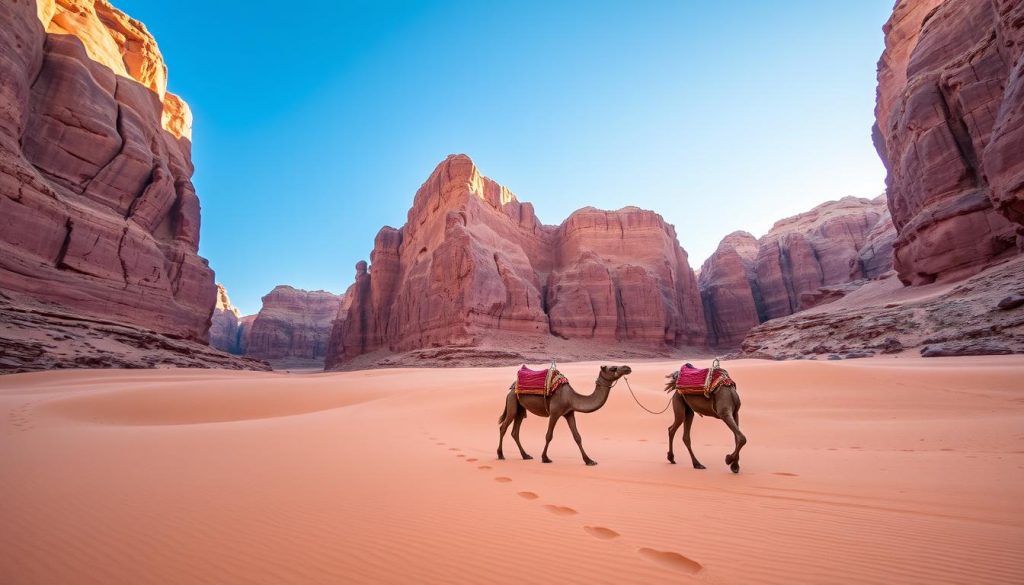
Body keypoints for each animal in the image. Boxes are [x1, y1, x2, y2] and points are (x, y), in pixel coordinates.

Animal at [497, 365, 631, 465]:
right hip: (512, 403)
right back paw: (500, 455)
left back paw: (525, 455)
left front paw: (589, 460)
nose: (627, 368)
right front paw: (545, 458)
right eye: (613, 368)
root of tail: (512, 388)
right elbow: (549, 435)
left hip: (520, 408)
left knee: (515, 432)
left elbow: (577, 437)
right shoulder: (555, 412)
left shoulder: (569, 413)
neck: (570, 398)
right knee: (503, 427)